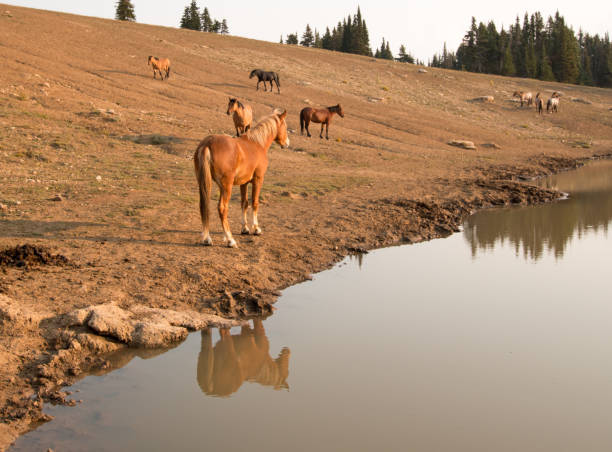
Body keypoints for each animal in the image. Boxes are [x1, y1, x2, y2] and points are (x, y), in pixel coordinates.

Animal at [194, 108, 290, 247]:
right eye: (285, 126)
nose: (287, 143)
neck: (257, 144)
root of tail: (207, 144)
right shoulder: (258, 179)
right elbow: (255, 202)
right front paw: (256, 229)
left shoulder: (243, 183)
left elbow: (244, 203)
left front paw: (245, 228)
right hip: (226, 186)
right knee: (222, 208)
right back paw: (230, 240)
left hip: (204, 183)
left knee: (203, 205)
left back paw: (207, 238)